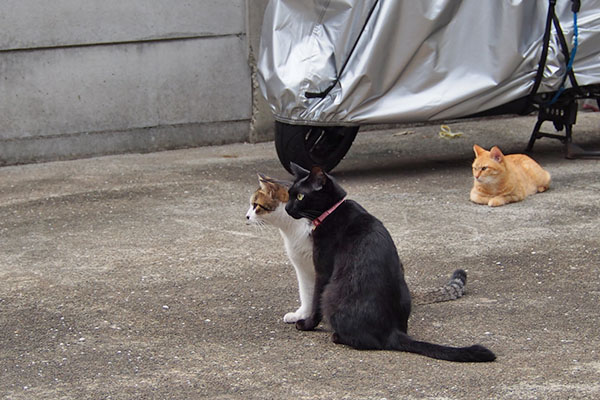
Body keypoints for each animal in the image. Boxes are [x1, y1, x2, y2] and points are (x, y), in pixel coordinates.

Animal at [284, 162, 494, 362]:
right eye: (289, 194)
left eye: (300, 196)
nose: (286, 208)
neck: (332, 211)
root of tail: (392, 332)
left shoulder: (322, 270)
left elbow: (314, 303)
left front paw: (307, 324)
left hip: (331, 294)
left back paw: (337, 336)